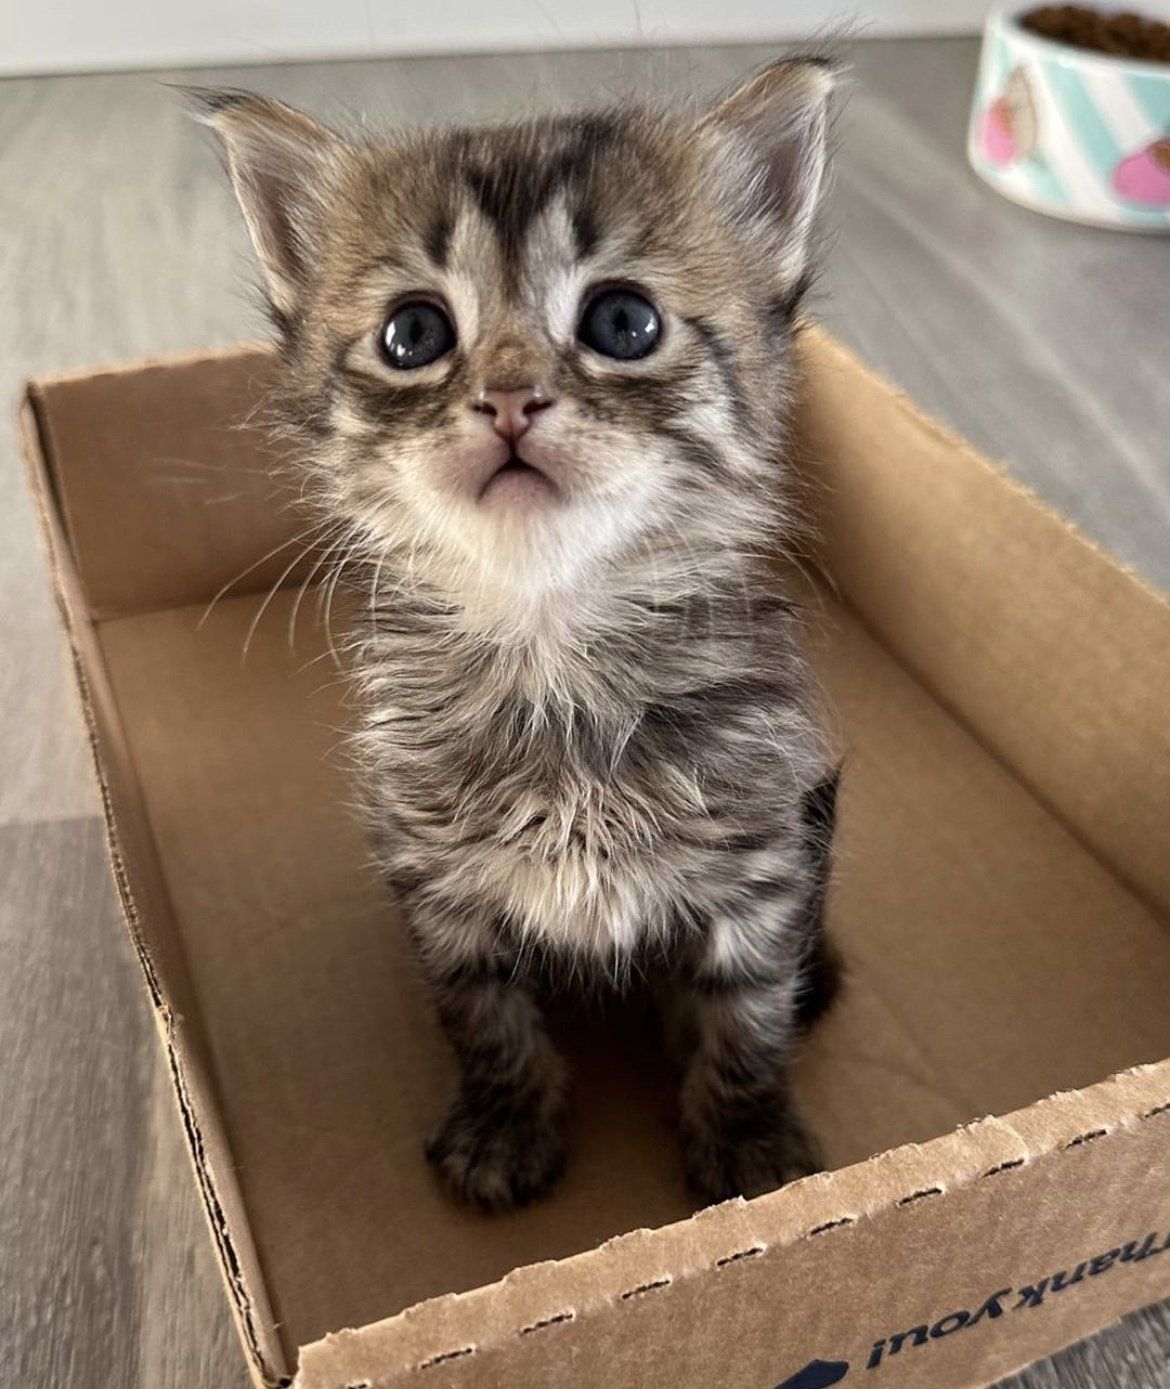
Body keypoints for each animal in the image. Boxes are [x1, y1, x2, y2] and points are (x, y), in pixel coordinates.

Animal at [200, 54, 839, 1205]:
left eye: (624, 322)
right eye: (413, 334)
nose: (508, 397)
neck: (551, 642)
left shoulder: (763, 857)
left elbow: (748, 1012)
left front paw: (750, 1141)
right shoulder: (436, 879)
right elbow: (483, 1010)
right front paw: (506, 1122)